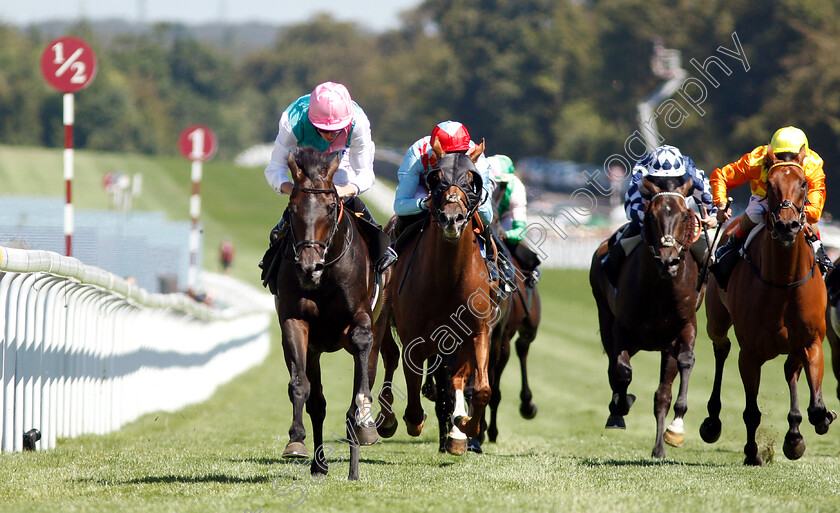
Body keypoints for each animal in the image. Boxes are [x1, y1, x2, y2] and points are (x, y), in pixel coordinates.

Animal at [272, 145, 388, 480]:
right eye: (293, 208)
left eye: (330, 206)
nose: (309, 266)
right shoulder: (295, 322)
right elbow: (301, 386)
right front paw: (296, 442)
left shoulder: (360, 320)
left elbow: (361, 350)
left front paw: (364, 420)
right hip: (315, 349)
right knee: (319, 403)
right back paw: (319, 463)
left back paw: (356, 456)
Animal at [386, 139, 498, 452]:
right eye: (436, 179)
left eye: (473, 181)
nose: (452, 218)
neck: (447, 280)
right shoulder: (412, 337)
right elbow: (412, 394)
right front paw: (415, 420)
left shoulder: (477, 331)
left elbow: (481, 388)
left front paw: (465, 426)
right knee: (384, 356)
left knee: (456, 378)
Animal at [704, 146, 832, 466]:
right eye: (771, 185)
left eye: (803, 183)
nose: (787, 226)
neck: (782, 283)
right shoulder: (749, 353)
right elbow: (751, 411)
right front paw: (752, 453)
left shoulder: (811, 341)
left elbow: (815, 407)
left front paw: (814, 423)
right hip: (716, 321)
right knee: (721, 349)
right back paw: (712, 422)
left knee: (790, 371)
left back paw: (795, 435)